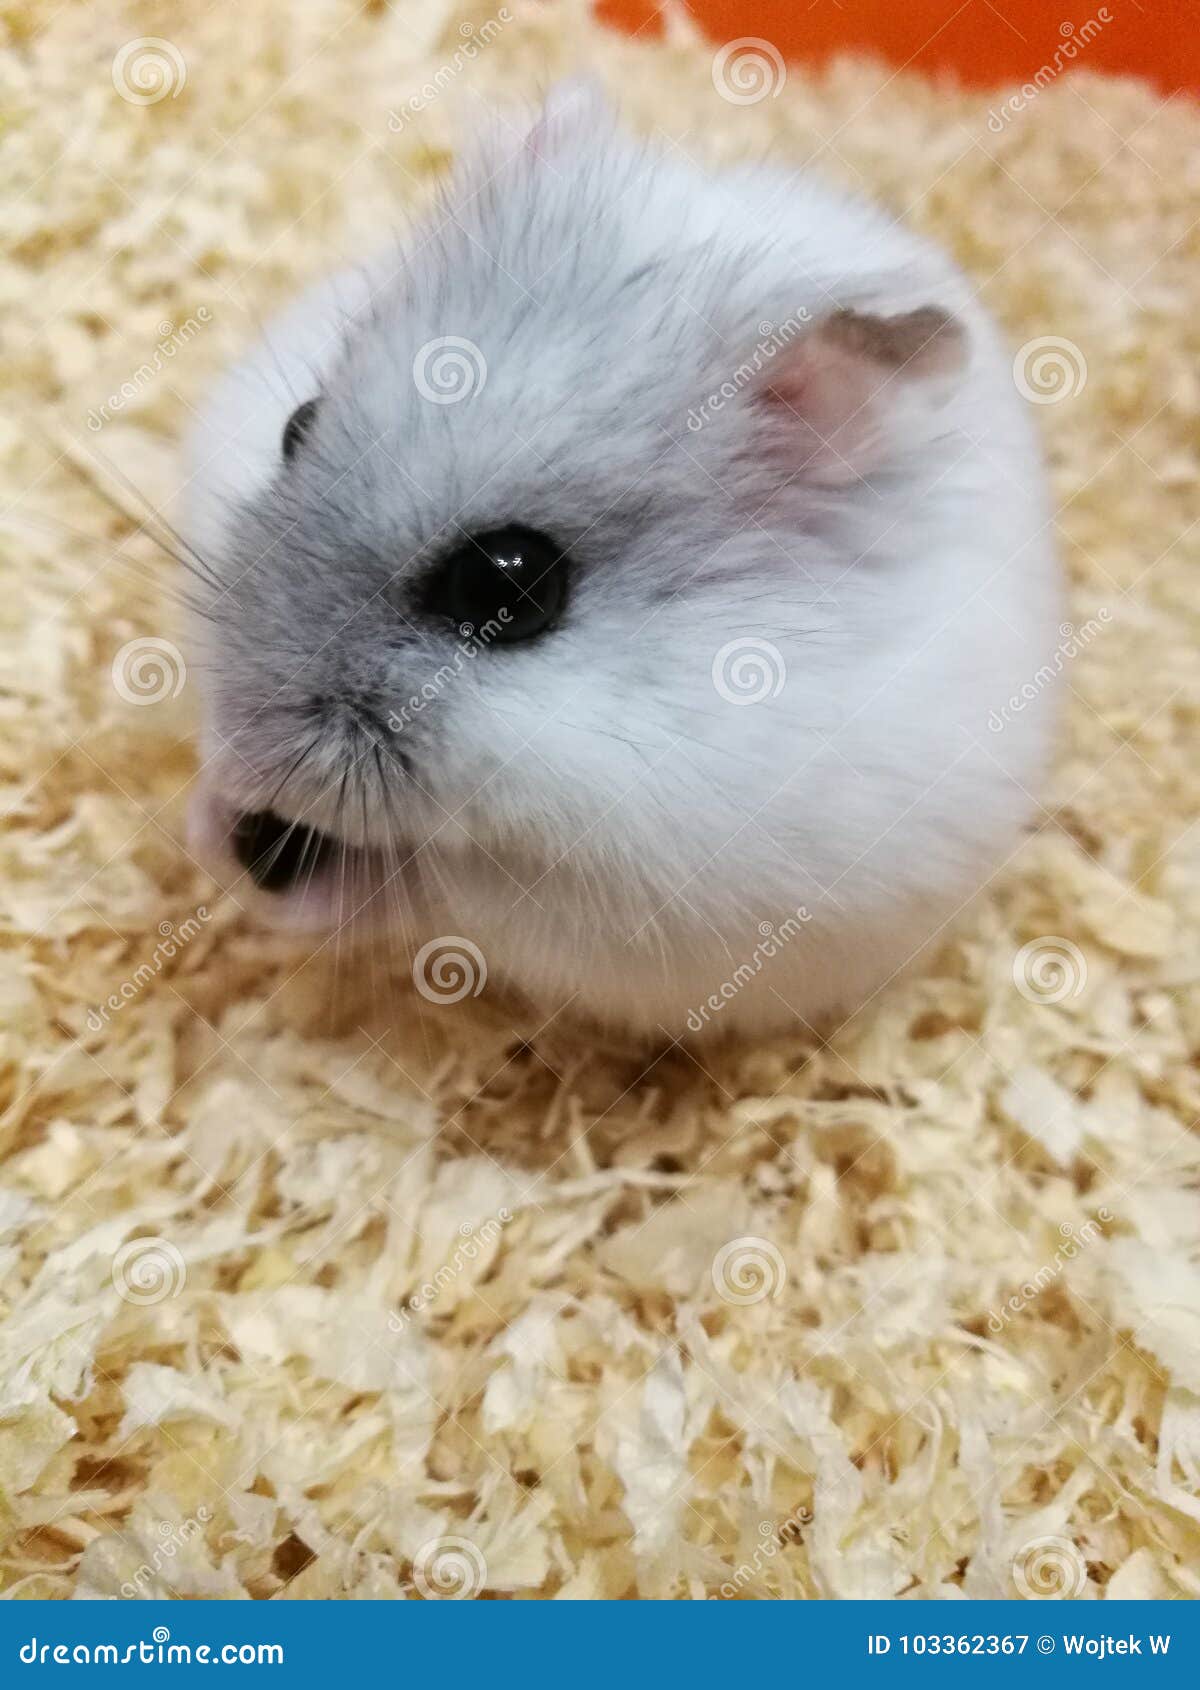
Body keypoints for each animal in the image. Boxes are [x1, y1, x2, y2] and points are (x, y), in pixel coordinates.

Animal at [184, 85, 1061, 1041]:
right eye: (297, 426)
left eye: (508, 583)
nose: (242, 758)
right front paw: (211, 824)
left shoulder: (601, 906)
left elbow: (432, 887)